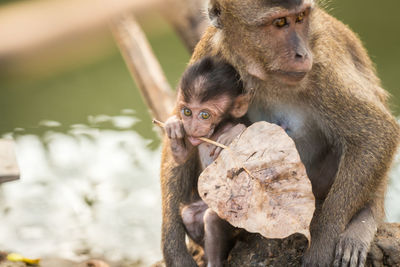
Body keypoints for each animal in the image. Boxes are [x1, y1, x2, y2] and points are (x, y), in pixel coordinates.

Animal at [164, 57, 248, 266]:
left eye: (204, 115)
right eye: (187, 112)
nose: (193, 127)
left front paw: (235, 132)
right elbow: (181, 157)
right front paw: (173, 127)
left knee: (212, 218)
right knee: (189, 215)